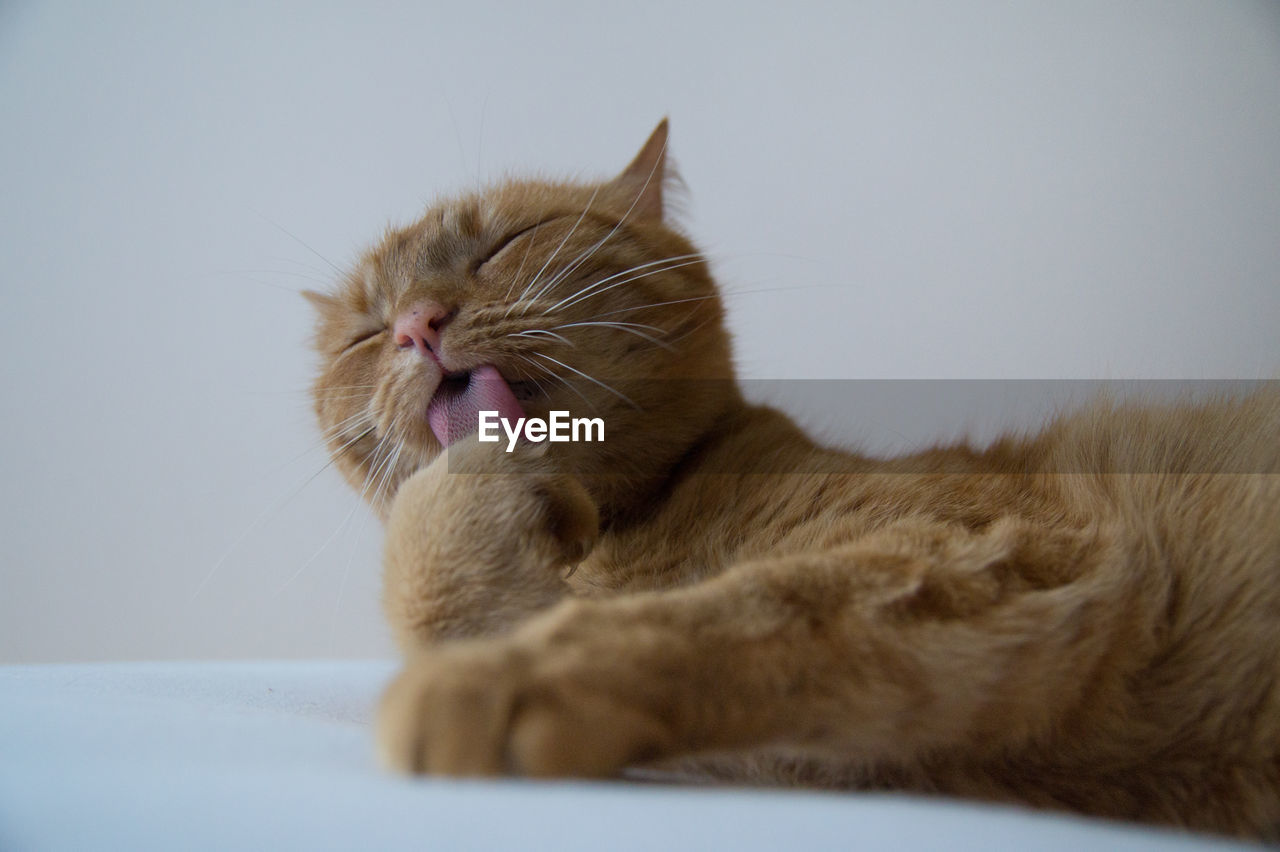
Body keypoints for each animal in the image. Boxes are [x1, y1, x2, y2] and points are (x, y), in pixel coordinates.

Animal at [307, 120, 1280, 834]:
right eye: (365, 333)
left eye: (507, 243)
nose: (418, 326)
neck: (621, 532)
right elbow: (438, 594)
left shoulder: (988, 550)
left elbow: (742, 607)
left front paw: (490, 673)